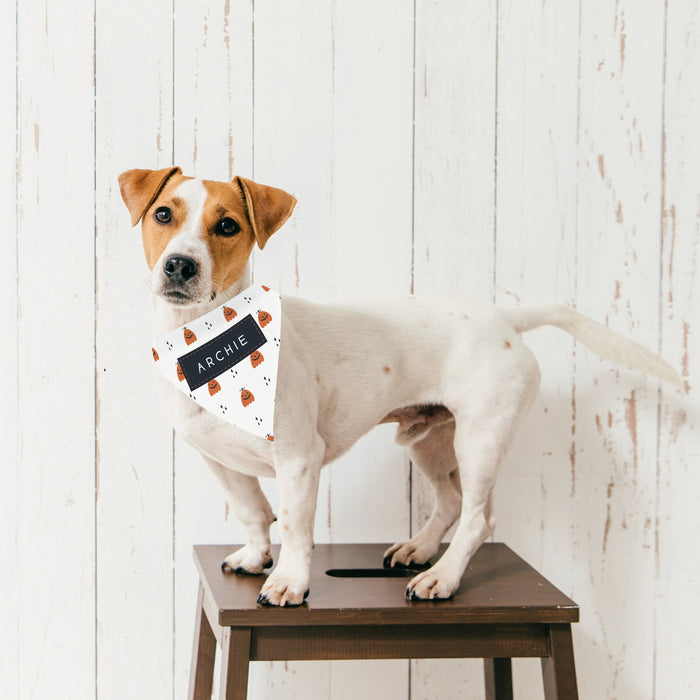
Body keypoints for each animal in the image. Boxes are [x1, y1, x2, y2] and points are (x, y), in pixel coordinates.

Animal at [117, 167, 680, 604]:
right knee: (450, 503)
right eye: (163, 215)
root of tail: (505, 318)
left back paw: (441, 577)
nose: (180, 265)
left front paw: (290, 582)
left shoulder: (299, 460)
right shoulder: (219, 459)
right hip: (429, 441)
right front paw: (256, 557)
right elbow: (254, 512)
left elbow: (296, 526)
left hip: (479, 441)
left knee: (477, 519)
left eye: (228, 225)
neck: (203, 338)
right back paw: (420, 549)